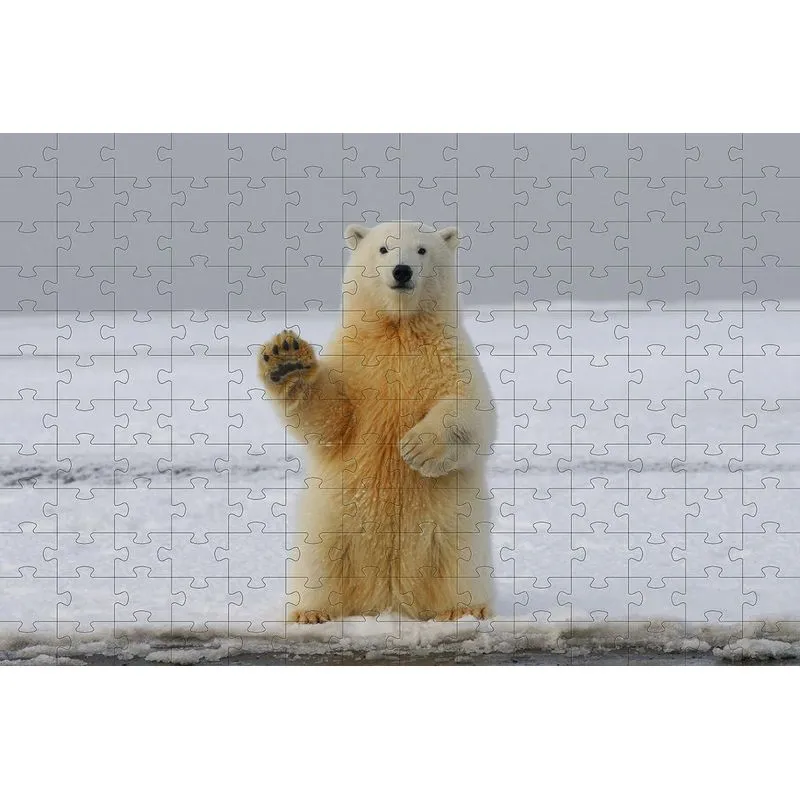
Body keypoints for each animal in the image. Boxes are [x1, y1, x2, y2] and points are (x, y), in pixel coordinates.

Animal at [257, 222, 496, 623]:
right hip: (331, 521)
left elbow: (471, 411)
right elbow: (331, 419)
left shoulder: (450, 357)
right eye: (383, 249)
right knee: (319, 563)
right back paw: (311, 612)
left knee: (459, 563)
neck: (398, 330)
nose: (402, 271)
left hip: (456, 526)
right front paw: (286, 360)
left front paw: (416, 448)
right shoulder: (354, 361)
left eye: (422, 250)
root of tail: (388, 598)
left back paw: (463, 609)